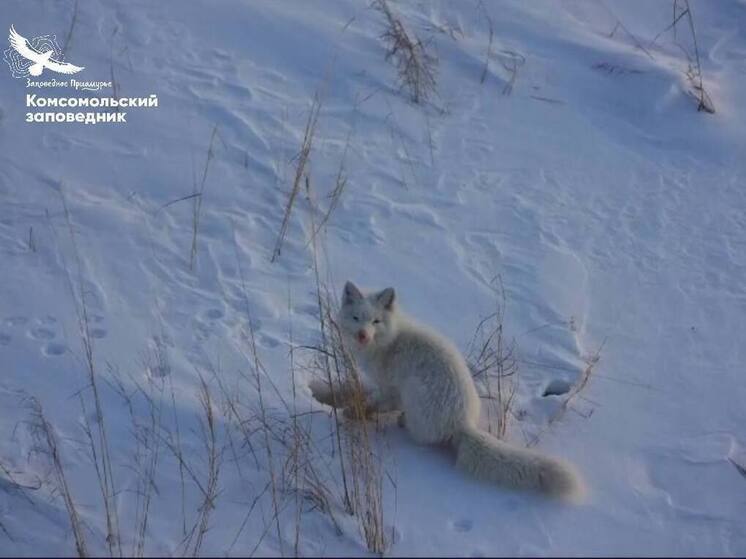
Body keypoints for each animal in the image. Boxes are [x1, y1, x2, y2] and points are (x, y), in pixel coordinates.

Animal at [310, 282, 584, 500]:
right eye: (356, 318)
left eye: (376, 321)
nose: (363, 335)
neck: (390, 341)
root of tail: (462, 422)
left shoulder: (392, 389)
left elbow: (375, 403)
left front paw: (353, 412)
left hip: (414, 389)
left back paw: (404, 422)